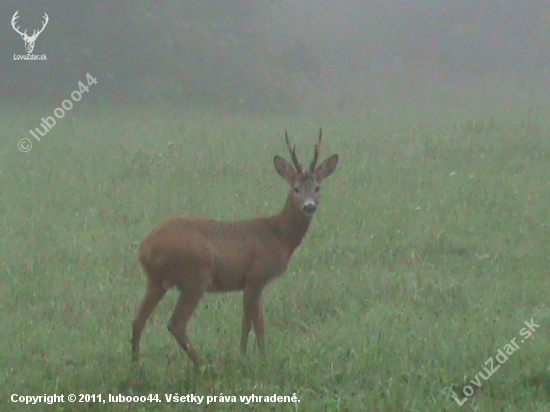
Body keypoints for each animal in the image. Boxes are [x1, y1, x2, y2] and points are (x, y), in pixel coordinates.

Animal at [134, 130, 340, 366]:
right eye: (295, 188)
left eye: (317, 188)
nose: (309, 206)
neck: (279, 236)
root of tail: (144, 247)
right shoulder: (255, 276)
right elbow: (251, 323)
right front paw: (251, 357)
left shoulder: (252, 282)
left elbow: (254, 323)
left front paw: (255, 356)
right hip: (194, 276)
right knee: (175, 324)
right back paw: (202, 365)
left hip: (156, 280)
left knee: (138, 319)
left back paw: (136, 363)